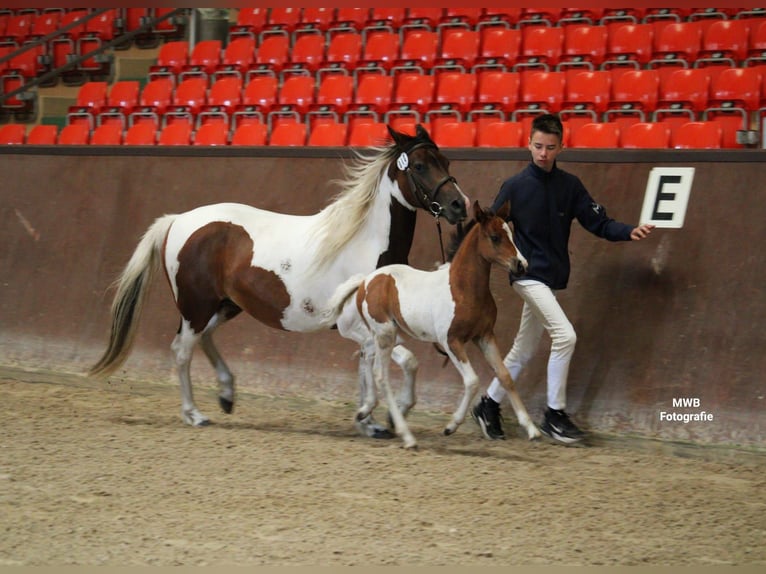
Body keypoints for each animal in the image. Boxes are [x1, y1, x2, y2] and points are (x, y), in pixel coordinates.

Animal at [92, 128, 472, 430]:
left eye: (446, 161)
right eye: (420, 165)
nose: (459, 205)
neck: (365, 242)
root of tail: (177, 220)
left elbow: (368, 367)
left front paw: (369, 421)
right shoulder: (360, 325)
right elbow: (401, 362)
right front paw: (391, 415)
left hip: (226, 305)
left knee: (204, 338)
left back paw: (227, 394)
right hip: (195, 307)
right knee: (182, 350)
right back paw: (195, 414)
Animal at [322, 202, 540, 450]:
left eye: (511, 234)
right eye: (495, 237)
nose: (521, 265)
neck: (463, 288)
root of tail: (366, 281)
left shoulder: (484, 336)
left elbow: (505, 376)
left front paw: (532, 429)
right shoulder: (451, 341)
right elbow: (472, 381)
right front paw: (451, 426)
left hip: (387, 334)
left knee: (367, 356)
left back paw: (365, 410)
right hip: (385, 334)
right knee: (381, 375)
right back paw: (406, 436)